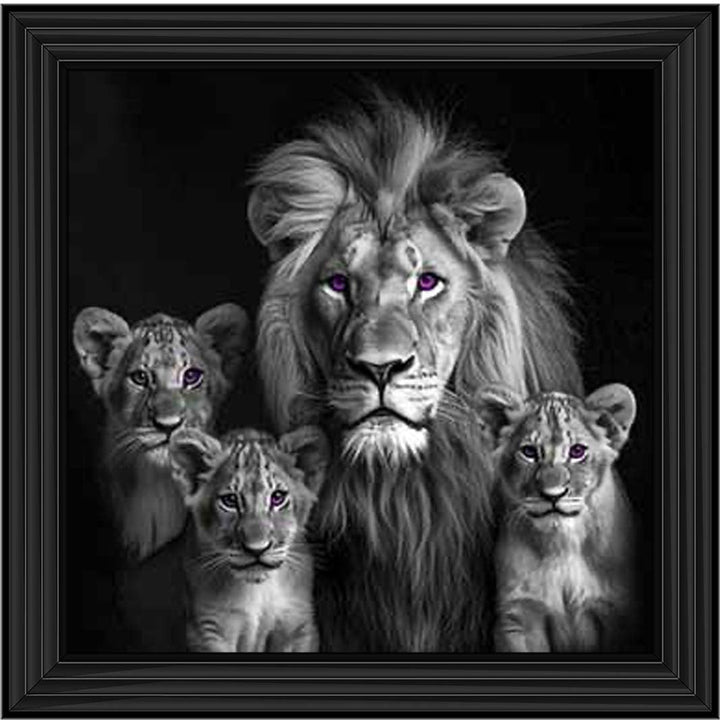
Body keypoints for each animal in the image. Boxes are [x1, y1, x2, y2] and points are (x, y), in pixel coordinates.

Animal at [169, 426, 327, 652]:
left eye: (277, 497)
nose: (257, 549)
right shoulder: (208, 630)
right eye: (230, 500)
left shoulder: (298, 626)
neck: (258, 590)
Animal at [475, 383, 637, 652]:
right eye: (529, 452)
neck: (562, 543)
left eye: (577, 451)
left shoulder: (618, 612)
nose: (553, 494)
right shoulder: (519, 615)